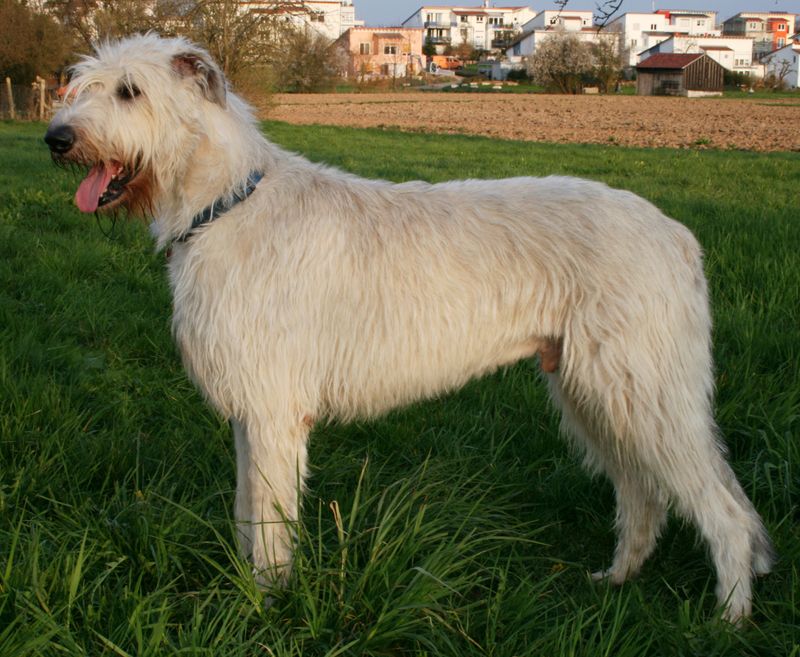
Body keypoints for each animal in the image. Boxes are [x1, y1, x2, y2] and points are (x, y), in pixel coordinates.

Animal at [42, 34, 768, 620]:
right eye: (81, 83)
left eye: (131, 90)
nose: (56, 139)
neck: (225, 204)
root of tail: (678, 236)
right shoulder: (254, 414)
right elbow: (250, 511)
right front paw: (251, 589)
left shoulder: (273, 412)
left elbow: (272, 525)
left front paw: (265, 605)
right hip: (598, 390)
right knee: (645, 494)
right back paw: (617, 578)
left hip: (640, 387)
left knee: (721, 508)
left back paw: (727, 616)